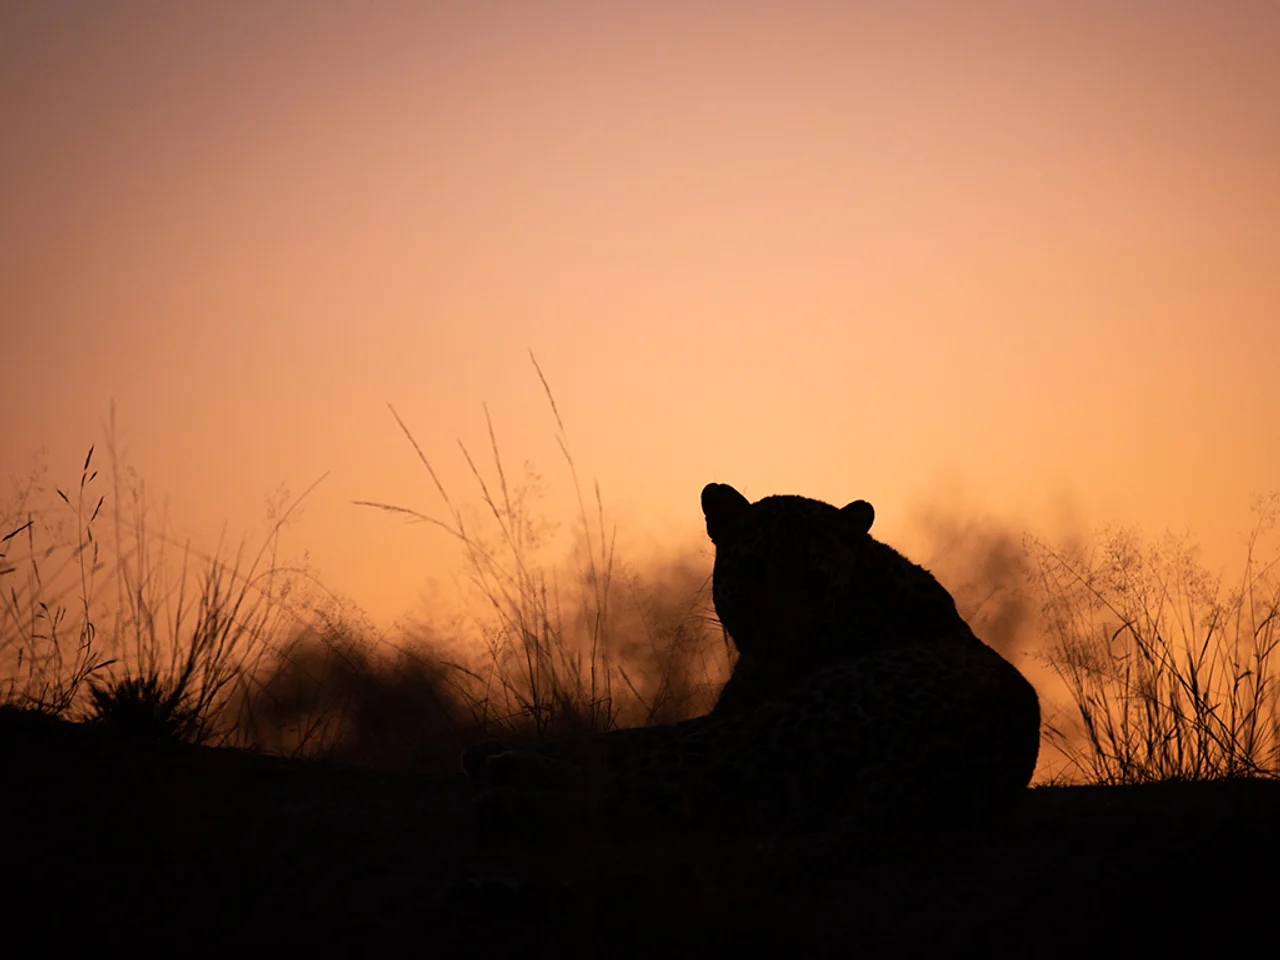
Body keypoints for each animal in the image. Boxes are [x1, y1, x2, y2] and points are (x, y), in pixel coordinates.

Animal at [462, 482, 1041, 836]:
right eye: (752, 566)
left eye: (815, 579)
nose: (775, 631)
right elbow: (619, 738)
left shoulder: (738, 717)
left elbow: (625, 745)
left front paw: (499, 756)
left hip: (771, 729)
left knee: (638, 792)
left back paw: (504, 793)